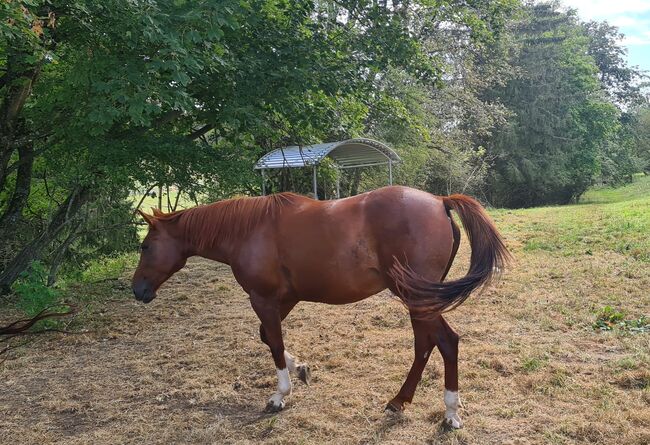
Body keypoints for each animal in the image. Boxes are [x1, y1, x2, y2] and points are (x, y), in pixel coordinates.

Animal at [130, 185, 506, 426]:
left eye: (146, 246)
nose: (137, 290)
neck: (248, 230)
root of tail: (439, 200)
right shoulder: (284, 299)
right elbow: (268, 338)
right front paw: (301, 369)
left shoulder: (263, 299)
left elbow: (274, 343)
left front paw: (280, 395)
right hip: (417, 299)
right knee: (425, 345)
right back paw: (400, 401)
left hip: (416, 297)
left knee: (446, 342)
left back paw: (450, 413)